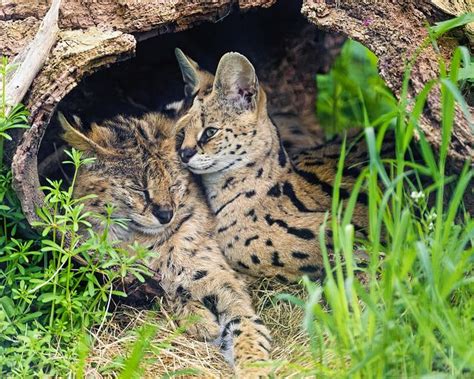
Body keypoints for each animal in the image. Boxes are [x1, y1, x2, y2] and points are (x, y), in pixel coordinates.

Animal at [58, 112, 270, 378]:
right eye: (138, 188)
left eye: (173, 184)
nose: (166, 214)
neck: (145, 239)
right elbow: (166, 293)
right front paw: (199, 319)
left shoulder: (222, 280)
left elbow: (244, 321)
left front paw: (254, 364)